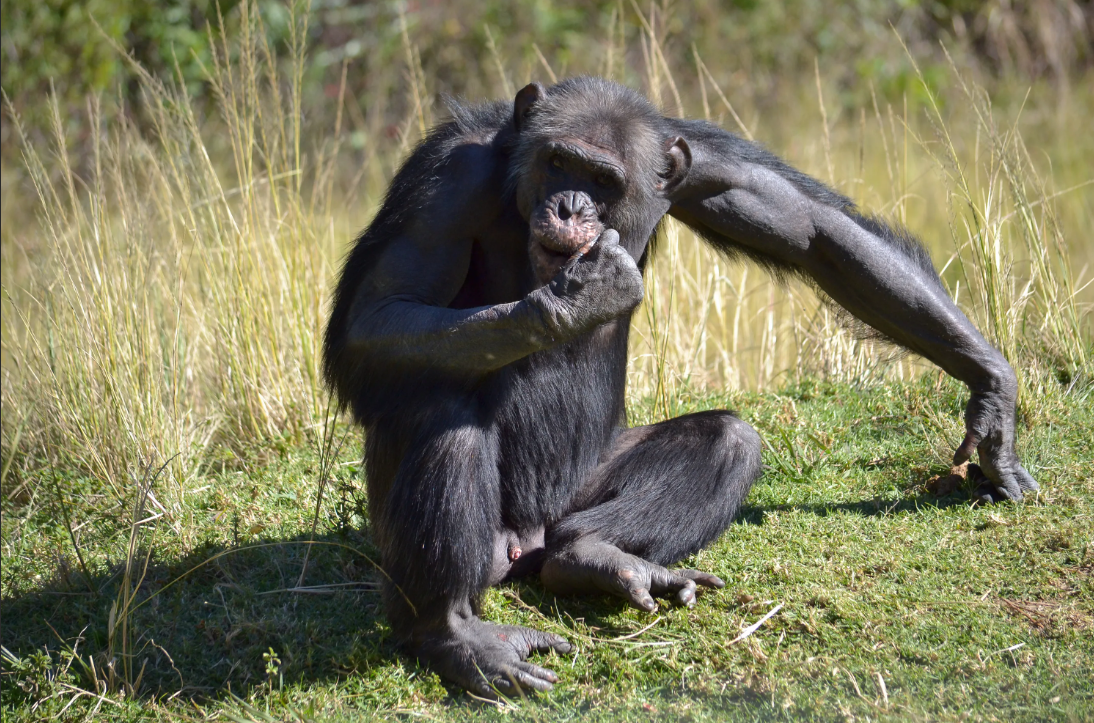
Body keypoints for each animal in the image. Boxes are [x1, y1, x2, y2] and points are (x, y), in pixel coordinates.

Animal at [319, 77, 1037, 695]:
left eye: (603, 180)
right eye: (558, 162)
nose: (571, 206)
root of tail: (528, 542)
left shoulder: (704, 164)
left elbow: (818, 232)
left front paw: (993, 395)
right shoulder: (446, 179)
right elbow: (377, 315)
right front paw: (576, 298)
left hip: (580, 493)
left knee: (728, 440)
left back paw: (600, 558)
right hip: (484, 547)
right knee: (438, 410)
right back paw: (456, 634)